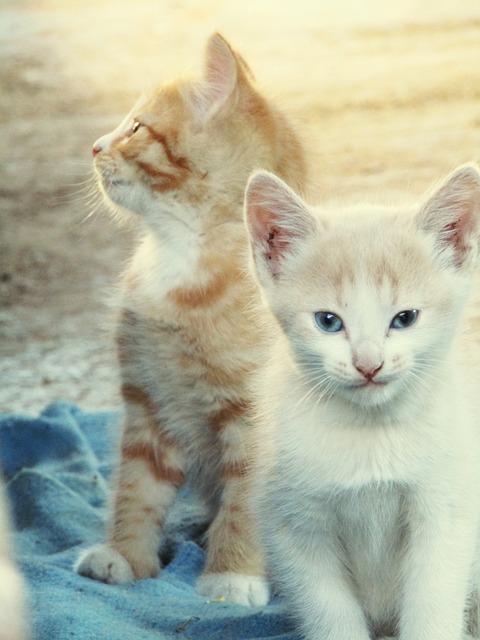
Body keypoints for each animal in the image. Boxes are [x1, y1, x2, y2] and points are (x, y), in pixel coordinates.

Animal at [75, 33, 308, 604]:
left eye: (137, 127)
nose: (94, 146)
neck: (183, 255)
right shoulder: (147, 400)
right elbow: (135, 488)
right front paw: (125, 556)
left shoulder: (253, 418)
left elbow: (244, 502)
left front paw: (233, 575)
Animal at [246, 166, 480, 640]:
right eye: (328, 322)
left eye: (405, 318)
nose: (368, 364)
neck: (371, 432)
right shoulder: (294, 522)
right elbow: (329, 612)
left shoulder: (447, 508)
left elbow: (433, 604)